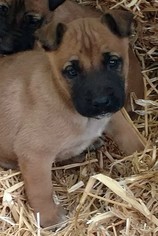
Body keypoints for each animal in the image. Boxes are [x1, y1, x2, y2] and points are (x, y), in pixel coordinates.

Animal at [0, 12, 133, 226]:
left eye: (113, 62)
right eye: (71, 72)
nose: (101, 102)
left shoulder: (113, 115)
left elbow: (128, 133)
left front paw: (144, 152)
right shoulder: (34, 154)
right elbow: (41, 190)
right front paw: (49, 218)